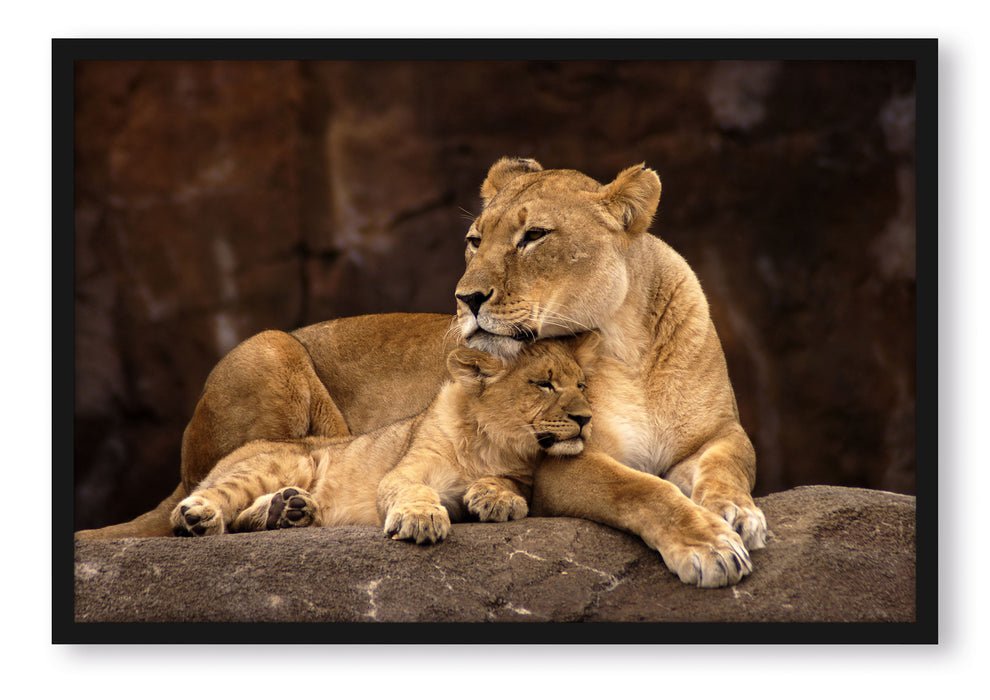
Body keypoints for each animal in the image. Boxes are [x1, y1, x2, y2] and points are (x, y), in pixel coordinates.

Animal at [169, 336, 599, 546]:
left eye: (581, 385)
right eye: (543, 384)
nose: (586, 418)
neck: (491, 444)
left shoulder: (522, 474)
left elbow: (511, 483)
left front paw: (496, 498)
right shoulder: (403, 472)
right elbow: (414, 490)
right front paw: (421, 520)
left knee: (244, 518)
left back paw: (289, 510)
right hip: (288, 460)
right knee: (214, 502)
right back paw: (199, 517)